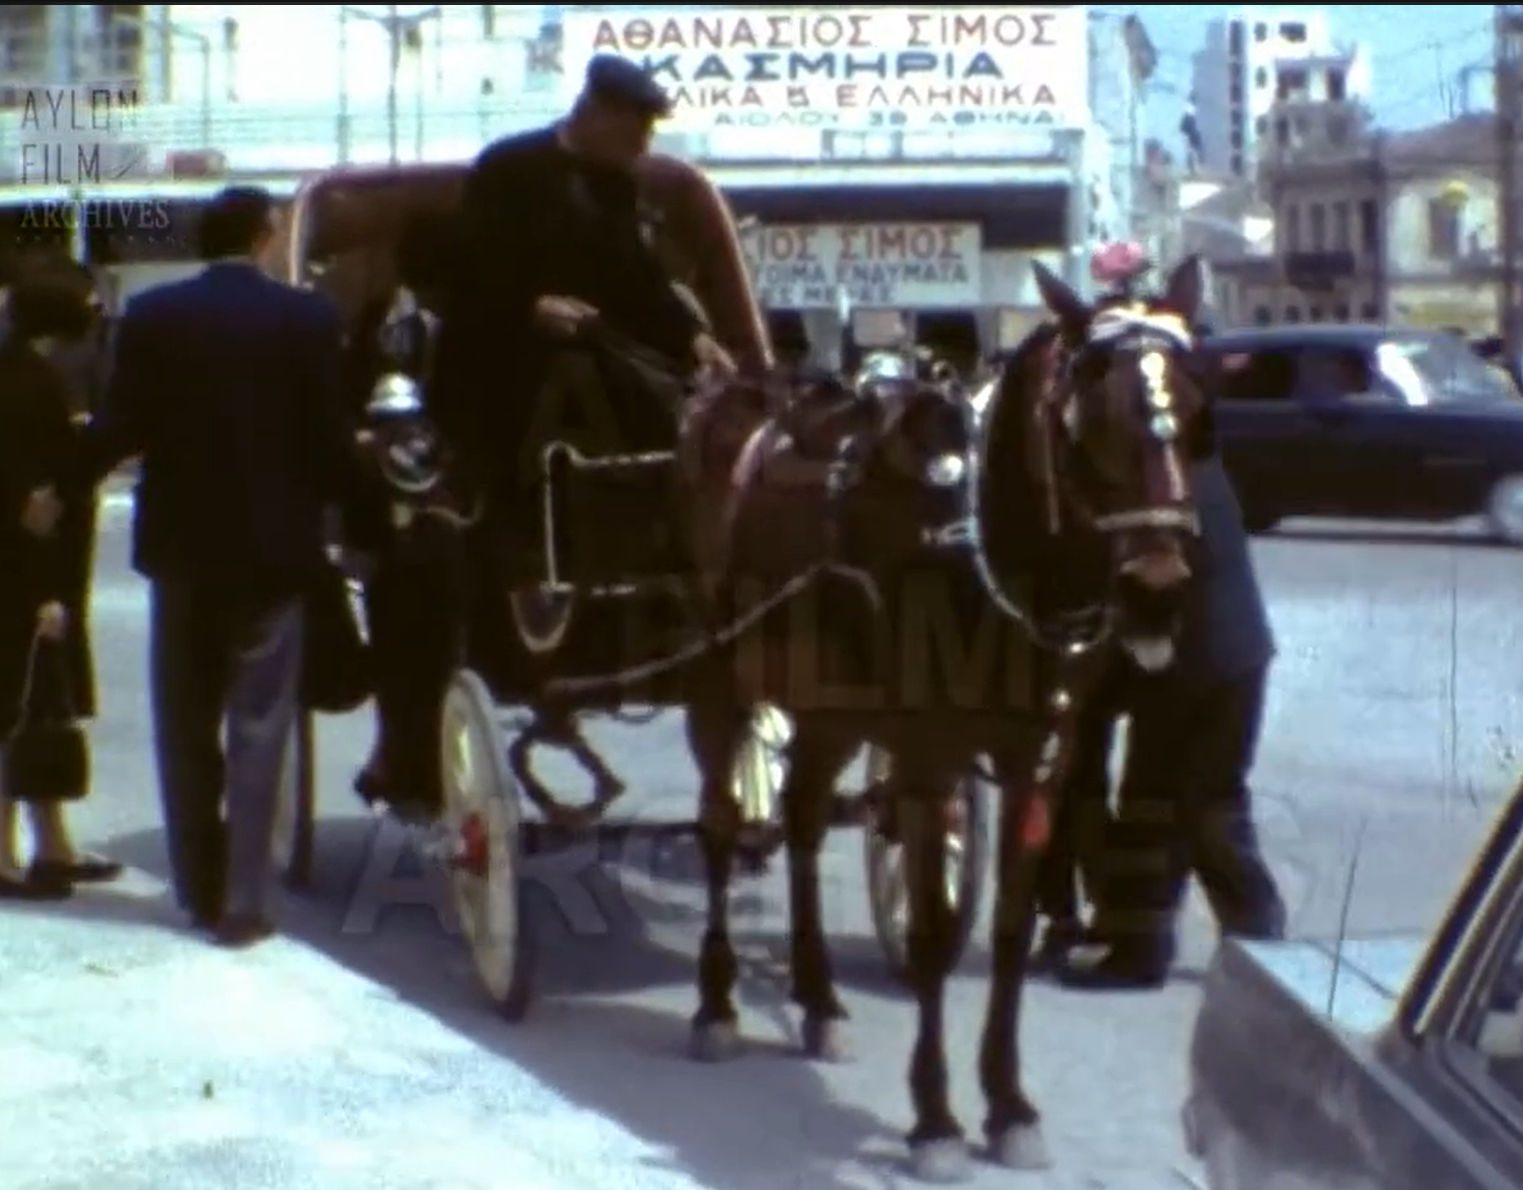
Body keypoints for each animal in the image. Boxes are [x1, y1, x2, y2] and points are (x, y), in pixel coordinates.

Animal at [673, 255, 1206, 1176]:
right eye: (1085, 419)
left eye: (1197, 409)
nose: (1156, 591)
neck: (980, 543)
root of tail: (732, 387)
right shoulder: (926, 761)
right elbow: (925, 935)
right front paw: (935, 1119)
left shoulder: (1039, 761)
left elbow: (1006, 933)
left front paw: (1008, 1104)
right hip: (720, 680)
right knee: (718, 824)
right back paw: (717, 1005)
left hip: (830, 704)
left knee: (804, 818)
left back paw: (817, 999)